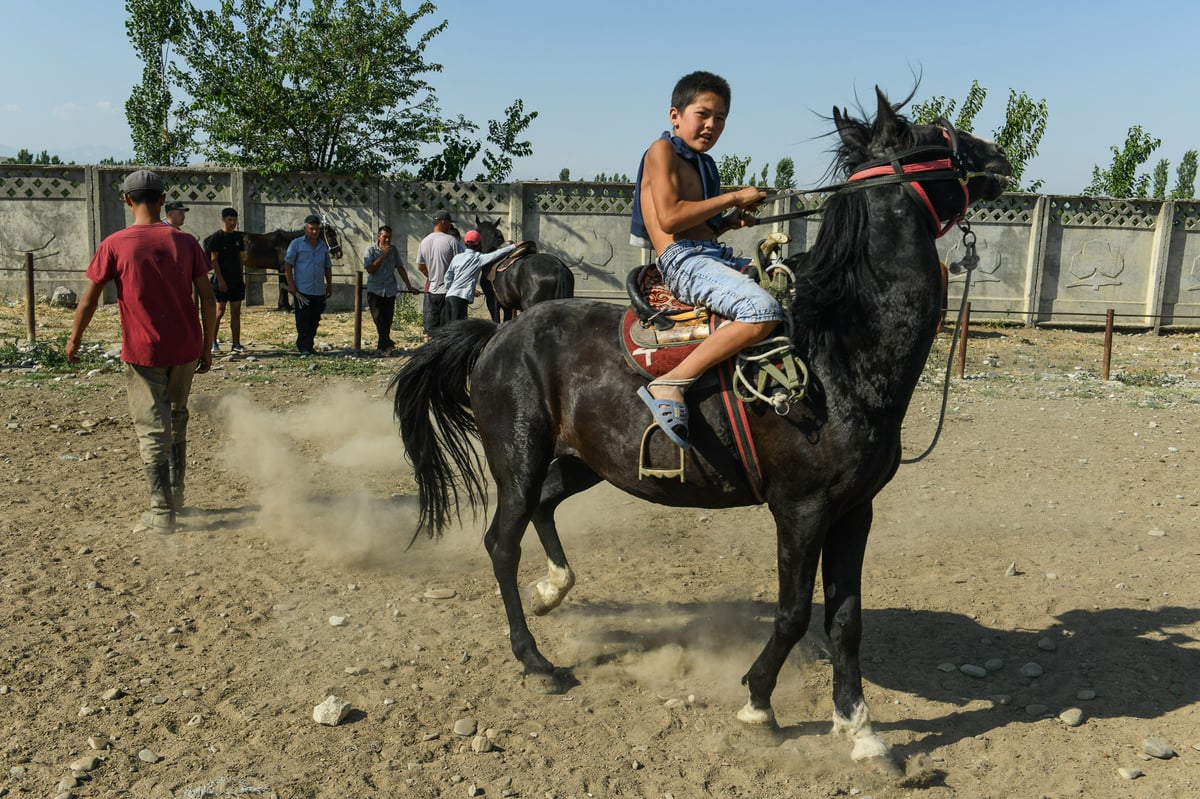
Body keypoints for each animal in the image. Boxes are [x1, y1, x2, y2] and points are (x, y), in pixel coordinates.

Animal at [393, 88, 1012, 772]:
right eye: (934, 133)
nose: (997, 156)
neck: (842, 348)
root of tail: (496, 337)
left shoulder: (855, 510)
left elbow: (846, 620)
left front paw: (860, 727)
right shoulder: (801, 510)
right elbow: (794, 613)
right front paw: (758, 701)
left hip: (585, 463)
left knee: (545, 508)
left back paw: (554, 589)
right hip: (519, 458)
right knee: (502, 542)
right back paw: (537, 660)